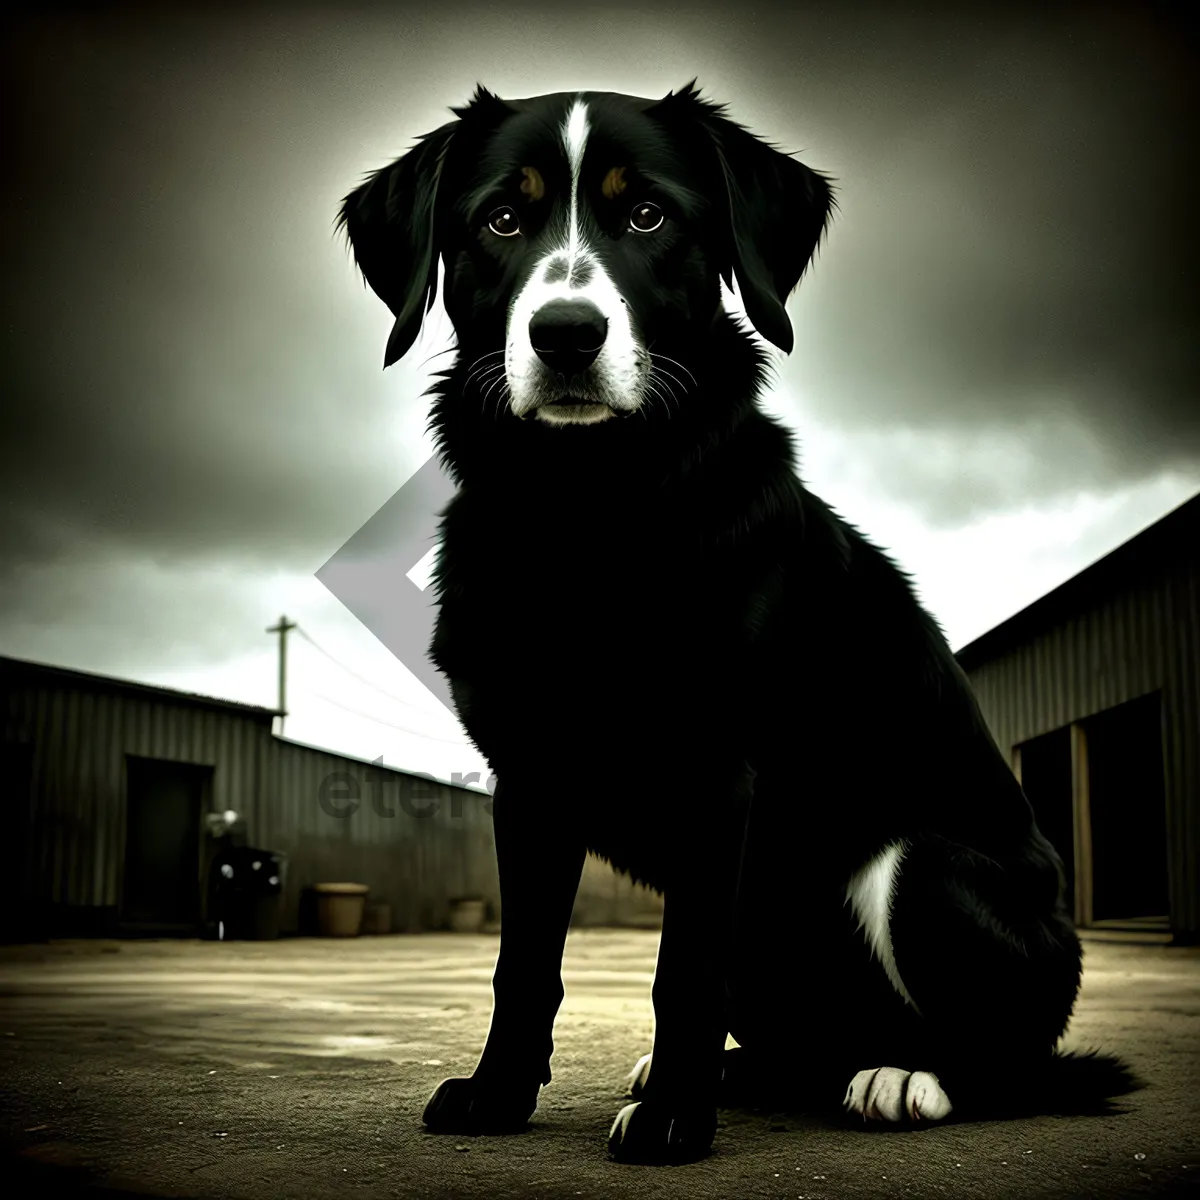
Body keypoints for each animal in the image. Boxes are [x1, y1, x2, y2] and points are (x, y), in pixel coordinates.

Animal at [336, 82, 1132, 1161]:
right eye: (502, 219)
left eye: (646, 215)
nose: (566, 334)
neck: (585, 510)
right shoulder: (531, 778)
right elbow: (524, 965)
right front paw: (500, 1095)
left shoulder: (716, 774)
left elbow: (681, 972)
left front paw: (673, 1118)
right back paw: (754, 1071)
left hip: (925, 868)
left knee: (1013, 1062)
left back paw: (904, 1076)